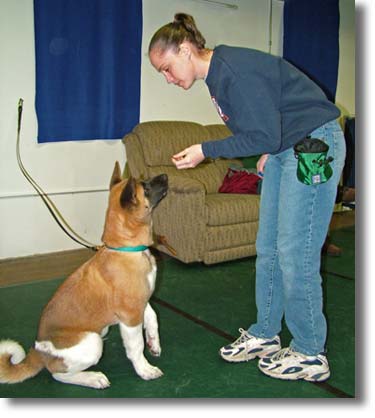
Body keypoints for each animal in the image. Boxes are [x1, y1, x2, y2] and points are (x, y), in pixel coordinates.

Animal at [0, 162, 169, 388]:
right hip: (92, 342)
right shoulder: (130, 316)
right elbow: (136, 347)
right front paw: (145, 369)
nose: (166, 175)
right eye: (145, 187)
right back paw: (93, 378)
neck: (127, 249)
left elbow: (152, 318)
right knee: (58, 374)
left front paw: (154, 343)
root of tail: (38, 352)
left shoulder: (141, 303)